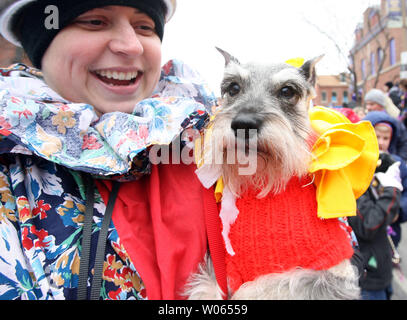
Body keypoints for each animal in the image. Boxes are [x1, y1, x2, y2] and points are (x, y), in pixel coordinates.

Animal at [186, 49, 362, 300]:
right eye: (233, 87)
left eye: (287, 90)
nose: (244, 124)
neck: (263, 180)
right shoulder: (222, 269)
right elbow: (209, 288)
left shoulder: (331, 275)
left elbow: (270, 284)